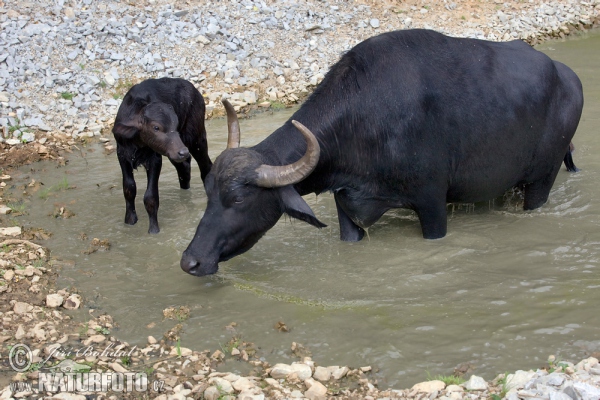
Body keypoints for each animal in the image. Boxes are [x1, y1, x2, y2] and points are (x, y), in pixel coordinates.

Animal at [112, 77, 213, 234]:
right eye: (156, 127)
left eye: (175, 126)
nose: (183, 151)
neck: (138, 143)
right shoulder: (123, 156)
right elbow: (129, 188)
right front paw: (129, 221)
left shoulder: (154, 160)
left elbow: (151, 196)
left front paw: (154, 230)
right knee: (184, 167)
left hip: (196, 138)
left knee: (206, 167)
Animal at [180, 29, 584, 276]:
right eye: (209, 194)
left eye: (238, 200)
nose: (191, 261)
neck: (365, 123)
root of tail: (569, 78)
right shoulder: (346, 207)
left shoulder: (432, 204)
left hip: (540, 181)